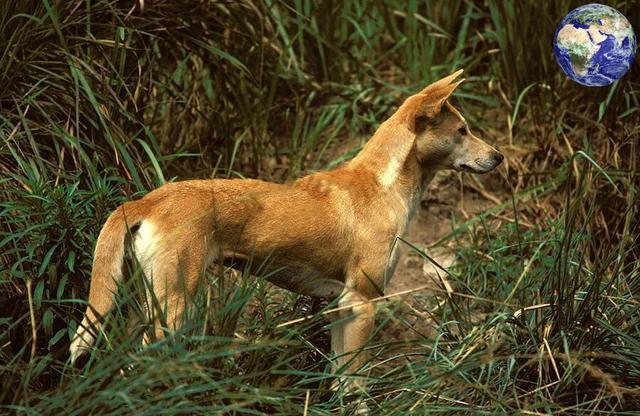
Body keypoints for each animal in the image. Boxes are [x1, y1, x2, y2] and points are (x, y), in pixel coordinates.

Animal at [69, 70, 500, 394]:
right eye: (463, 131)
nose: (498, 157)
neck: (382, 185)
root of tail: (147, 200)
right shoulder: (363, 302)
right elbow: (356, 383)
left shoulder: (341, 308)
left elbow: (340, 381)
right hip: (174, 310)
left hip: (146, 305)